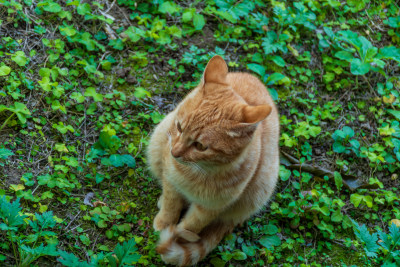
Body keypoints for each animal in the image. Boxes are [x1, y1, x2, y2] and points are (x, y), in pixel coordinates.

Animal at [148, 55, 282, 266]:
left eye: (200, 146)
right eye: (179, 127)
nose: (174, 153)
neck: (200, 173)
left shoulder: (212, 207)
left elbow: (192, 225)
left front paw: (181, 237)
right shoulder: (171, 180)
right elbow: (171, 204)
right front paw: (164, 223)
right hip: (157, 140)